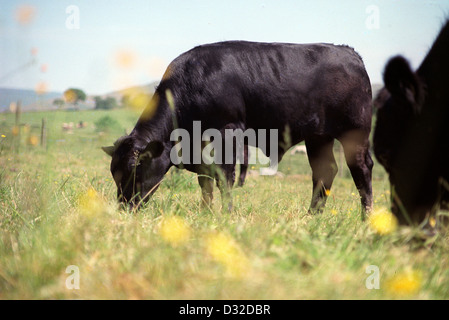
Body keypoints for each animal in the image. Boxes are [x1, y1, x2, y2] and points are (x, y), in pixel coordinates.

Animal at [103, 40, 372, 215]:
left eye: (135, 169)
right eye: (115, 172)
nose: (124, 208)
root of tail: (349, 53)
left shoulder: (228, 132)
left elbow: (224, 177)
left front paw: (226, 214)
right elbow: (205, 181)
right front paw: (206, 213)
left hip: (355, 132)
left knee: (361, 169)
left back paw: (367, 219)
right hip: (318, 136)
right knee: (325, 171)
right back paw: (312, 216)